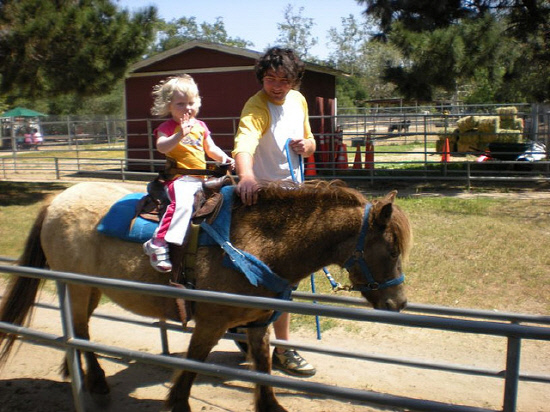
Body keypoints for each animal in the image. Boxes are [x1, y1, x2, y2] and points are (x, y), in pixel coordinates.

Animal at [0, 180, 414, 412]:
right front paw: (178, 403)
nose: (399, 304)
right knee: (82, 330)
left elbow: (263, 367)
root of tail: (55, 201)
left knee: (79, 328)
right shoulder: (211, 322)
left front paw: (271, 406)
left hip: (90, 288)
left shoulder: (257, 322)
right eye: (392, 249)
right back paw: (97, 382)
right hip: (78, 284)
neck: (256, 242)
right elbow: (193, 365)